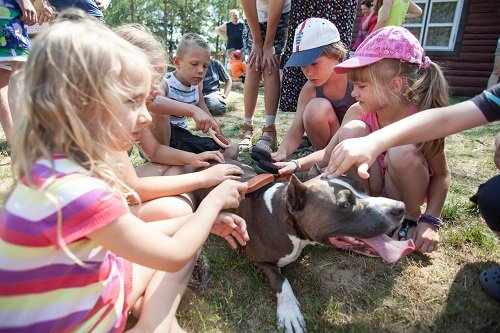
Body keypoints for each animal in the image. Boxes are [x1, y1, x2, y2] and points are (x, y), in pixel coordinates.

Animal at [191, 163, 414, 332]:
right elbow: (281, 280)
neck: (285, 217)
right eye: (345, 204)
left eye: (363, 187)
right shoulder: (259, 259)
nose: (400, 207)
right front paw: (289, 311)